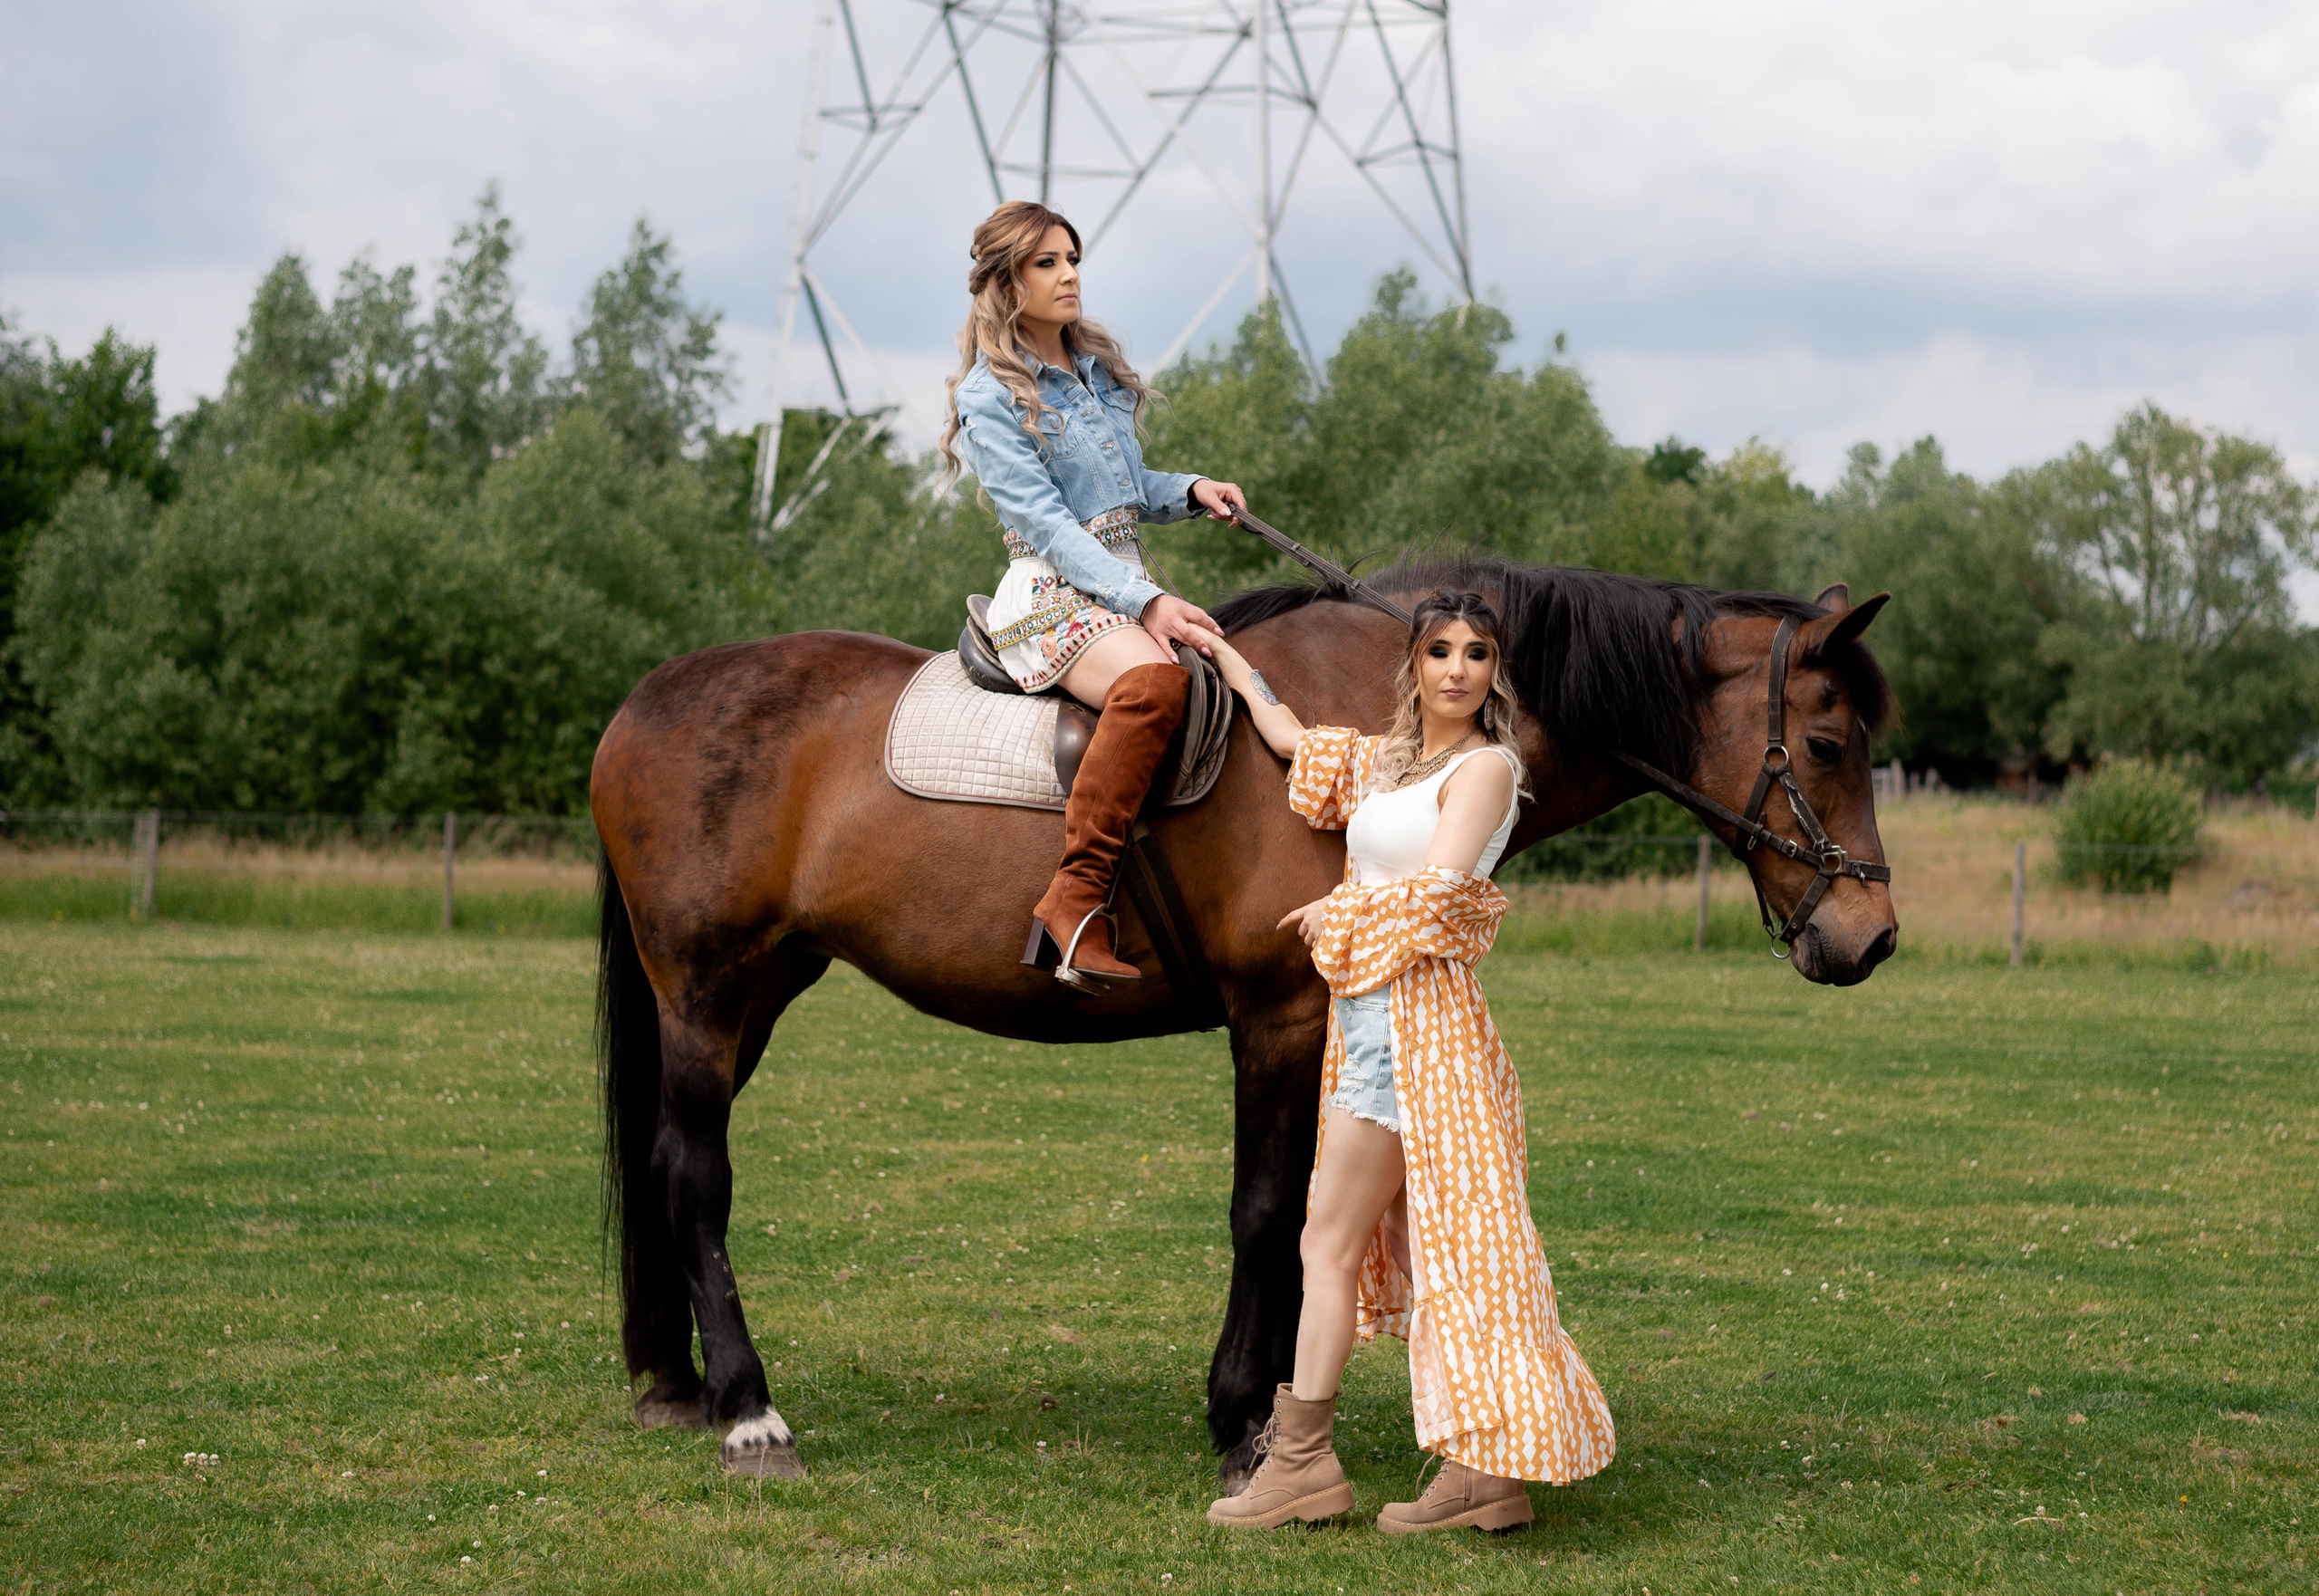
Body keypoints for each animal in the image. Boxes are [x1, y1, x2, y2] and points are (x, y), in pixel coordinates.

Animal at [591, 556, 1898, 1483]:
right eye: (1829, 742)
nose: (1871, 937)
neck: (1390, 718)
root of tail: (647, 695)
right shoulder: (1277, 1016)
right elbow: (1268, 1212)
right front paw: (1242, 1423)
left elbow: (1316, 1211)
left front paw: (1275, 1404)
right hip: (706, 987)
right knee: (695, 1172)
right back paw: (749, 1408)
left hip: (756, 989)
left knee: (660, 1158)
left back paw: (675, 1379)